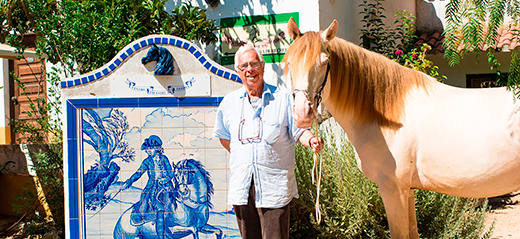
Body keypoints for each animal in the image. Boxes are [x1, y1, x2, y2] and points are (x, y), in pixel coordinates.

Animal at [282, 17, 520, 238]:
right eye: (290, 63)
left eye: (325, 62)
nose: (302, 113)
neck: (386, 116)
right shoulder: (408, 190)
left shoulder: (393, 189)